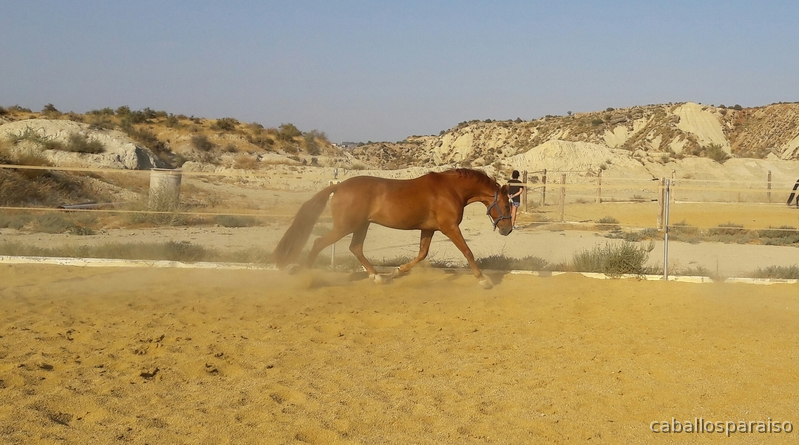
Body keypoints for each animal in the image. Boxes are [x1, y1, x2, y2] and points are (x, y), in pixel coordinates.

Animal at [272, 168, 513, 289]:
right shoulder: (449, 228)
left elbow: (421, 254)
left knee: (355, 248)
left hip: (361, 226)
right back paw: (305, 276)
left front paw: (395, 272)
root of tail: (339, 186)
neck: (450, 189)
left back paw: (377, 277)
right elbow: (467, 251)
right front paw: (483, 280)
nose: (507, 230)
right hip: (345, 226)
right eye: (506, 204)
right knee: (319, 242)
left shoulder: (429, 229)